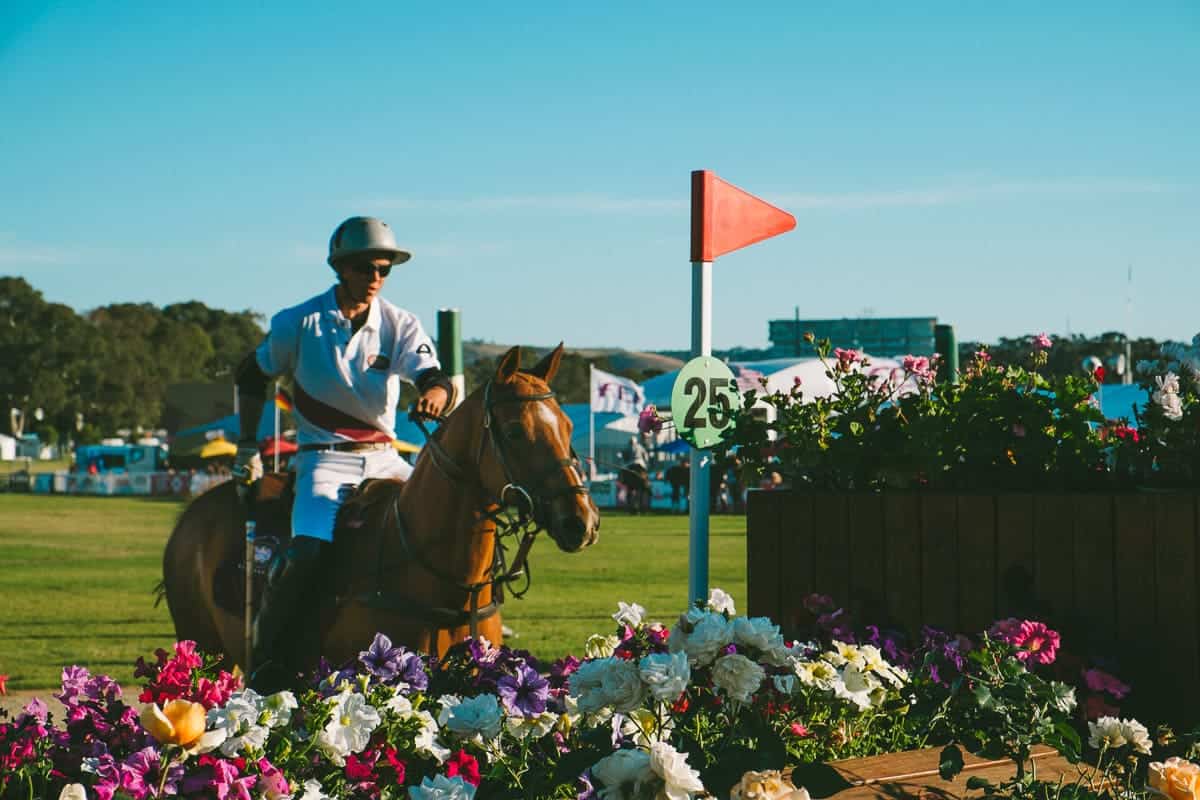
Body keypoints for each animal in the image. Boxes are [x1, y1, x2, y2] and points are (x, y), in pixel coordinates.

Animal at [162, 345, 600, 671]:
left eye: (568, 427)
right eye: (514, 431)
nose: (583, 522)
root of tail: (196, 508)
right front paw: (247, 457)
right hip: (205, 645)